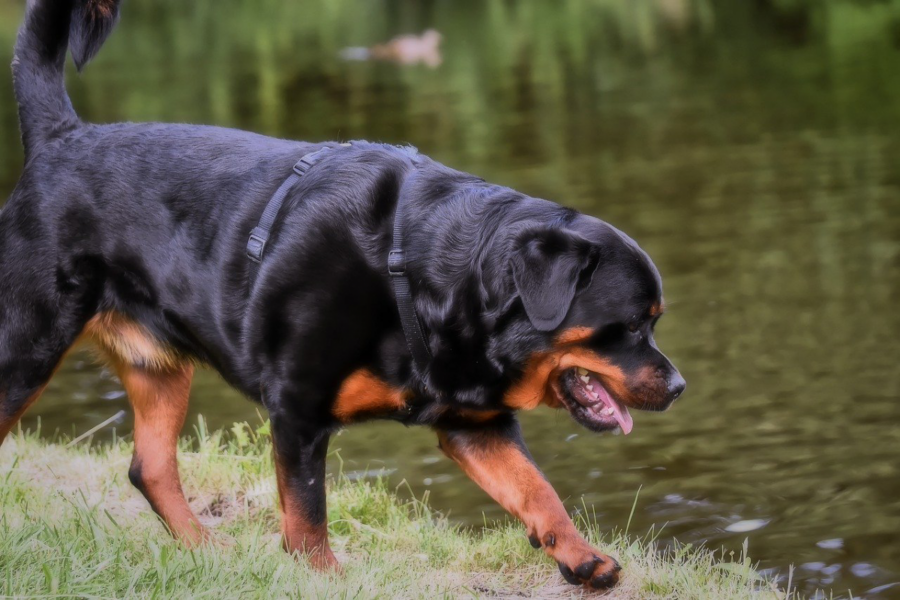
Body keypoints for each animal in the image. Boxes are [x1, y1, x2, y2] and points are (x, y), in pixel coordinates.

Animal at [3, 0, 684, 592]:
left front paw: (581, 557)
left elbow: (537, 489)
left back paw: (205, 551)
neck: (425, 275)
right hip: (26, 345)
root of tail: (63, 135)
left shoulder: (477, 423)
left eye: (654, 323)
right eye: (631, 325)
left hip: (158, 365)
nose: (679, 386)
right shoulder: (298, 408)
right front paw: (323, 578)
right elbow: (308, 512)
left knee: (150, 467)